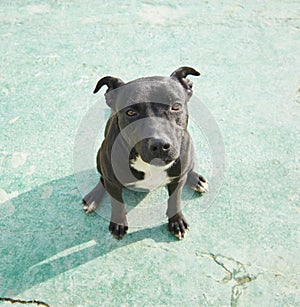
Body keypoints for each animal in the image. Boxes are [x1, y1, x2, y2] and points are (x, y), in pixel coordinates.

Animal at [83, 67, 207, 241]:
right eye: (130, 112)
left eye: (175, 107)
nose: (160, 144)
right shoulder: (112, 182)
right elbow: (117, 204)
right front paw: (118, 223)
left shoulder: (177, 180)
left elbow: (175, 200)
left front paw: (176, 221)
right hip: (100, 157)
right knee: (102, 179)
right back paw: (93, 198)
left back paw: (195, 179)